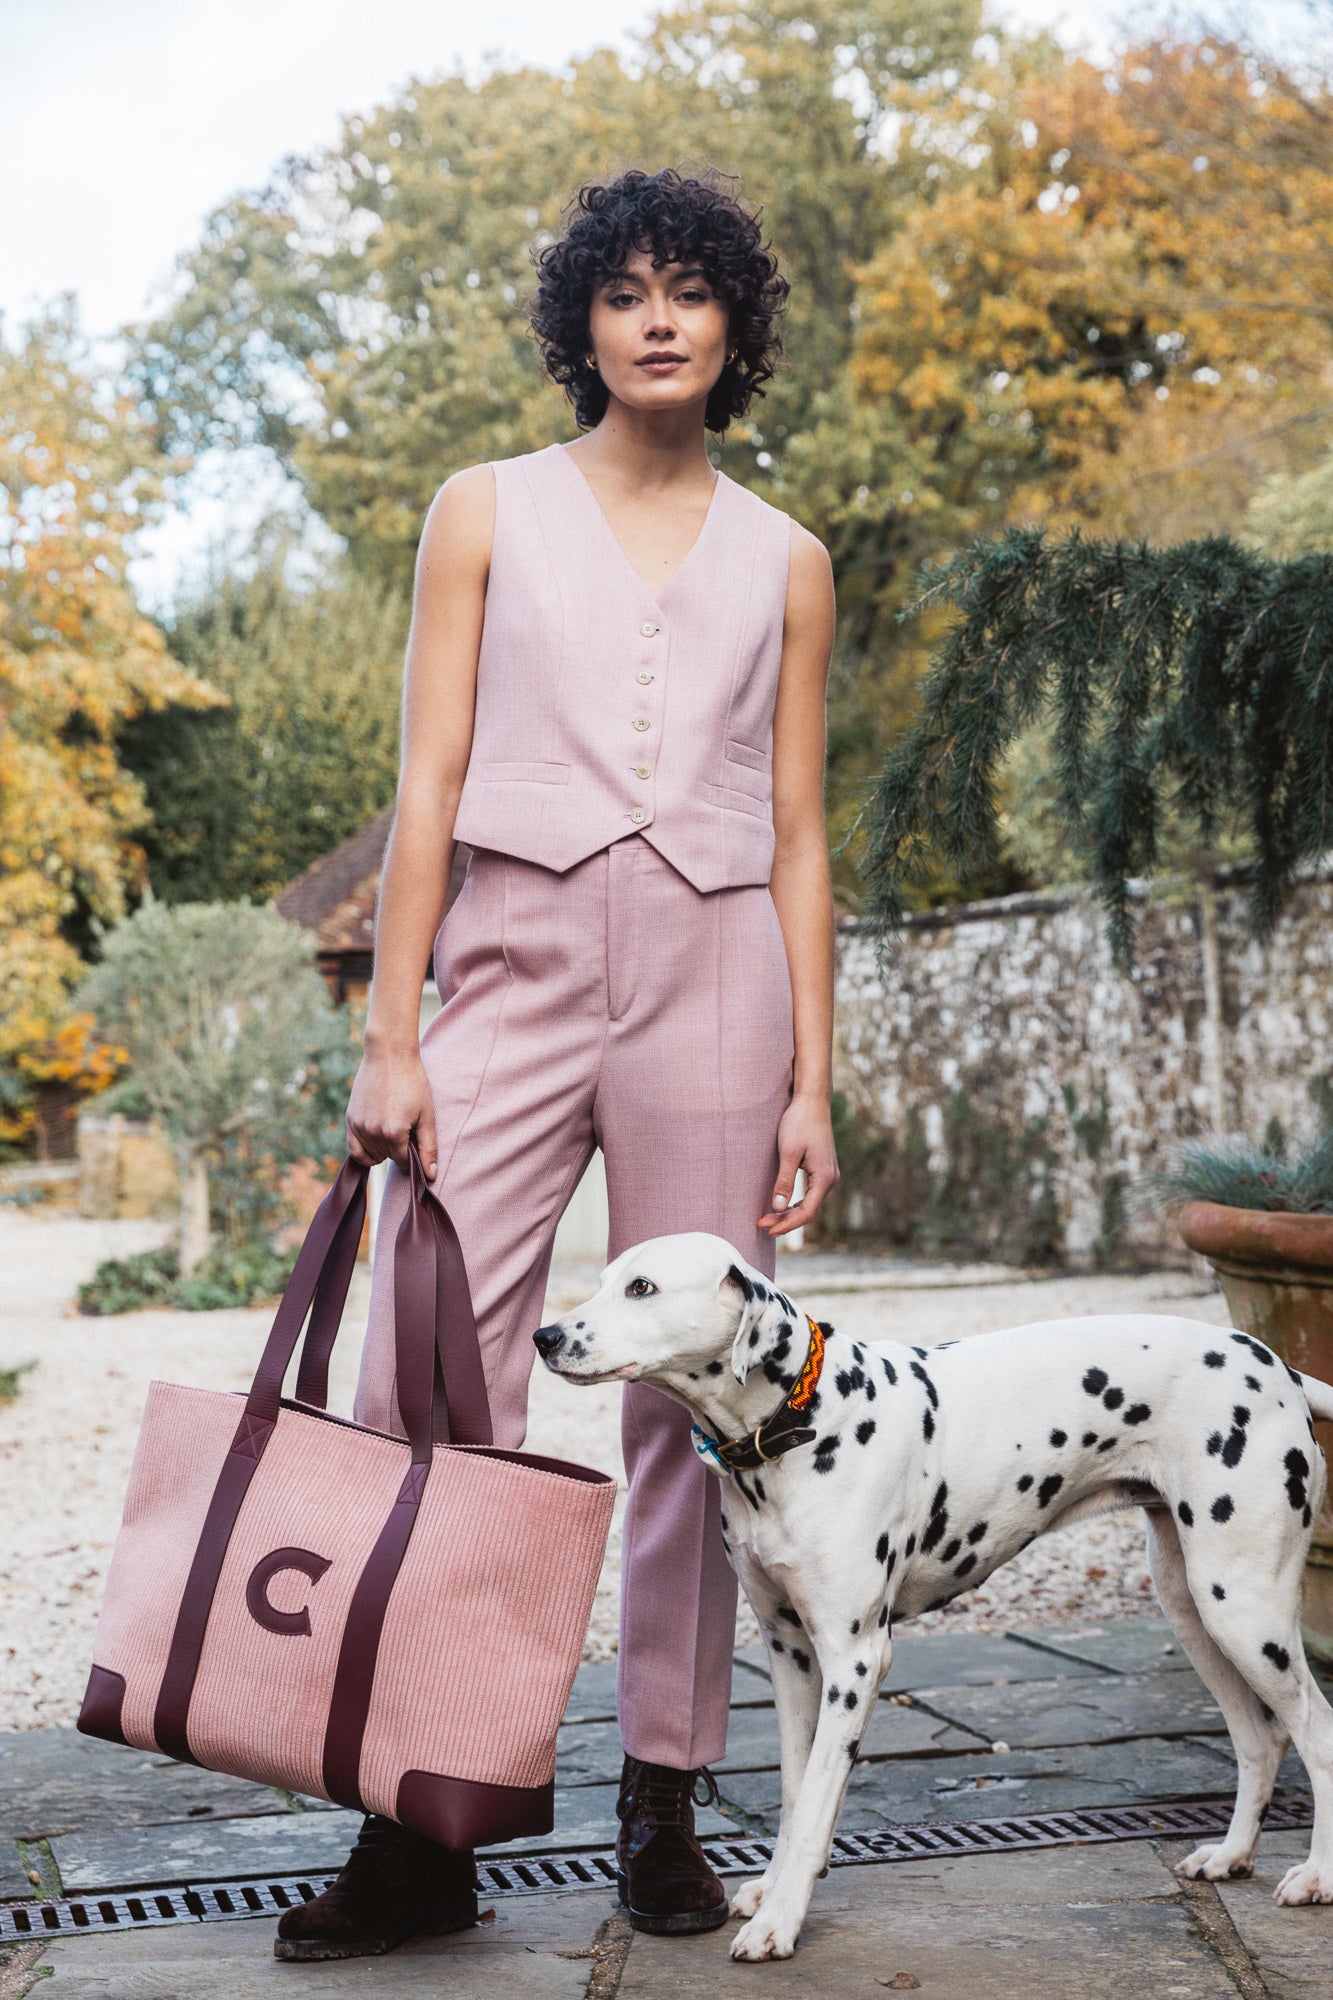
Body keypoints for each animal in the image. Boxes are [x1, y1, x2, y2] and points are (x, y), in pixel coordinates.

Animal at [532, 1224, 1328, 1960]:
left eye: (642, 1288)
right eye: (604, 1281)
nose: (545, 1336)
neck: (805, 1420)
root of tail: (1275, 1364)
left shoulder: (855, 1661)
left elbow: (818, 1800)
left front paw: (781, 1920)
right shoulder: (790, 1656)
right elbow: (794, 1792)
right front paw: (774, 1886)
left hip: (1243, 1608)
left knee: (1316, 1730)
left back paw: (1316, 1875)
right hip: (1195, 1606)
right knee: (1260, 1738)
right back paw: (1231, 1855)